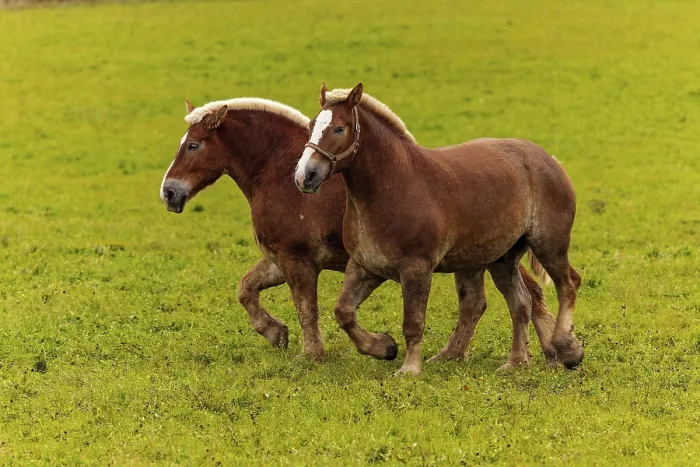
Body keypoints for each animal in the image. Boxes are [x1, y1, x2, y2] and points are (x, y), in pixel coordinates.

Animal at [159, 96, 560, 368]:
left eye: (193, 145)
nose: (169, 192)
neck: (279, 175)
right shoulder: (277, 260)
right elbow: (246, 289)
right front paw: (275, 333)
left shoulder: (297, 261)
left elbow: (308, 309)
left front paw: (316, 354)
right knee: (521, 296)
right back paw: (550, 352)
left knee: (527, 296)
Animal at [295, 83, 583, 375]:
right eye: (311, 125)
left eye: (339, 128)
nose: (305, 176)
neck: (392, 185)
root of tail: (549, 160)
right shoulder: (365, 267)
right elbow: (343, 311)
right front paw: (384, 347)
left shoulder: (416, 269)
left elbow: (413, 323)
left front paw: (409, 369)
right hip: (501, 258)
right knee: (519, 303)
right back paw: (515, 362)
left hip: (549, 245)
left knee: (568, 284)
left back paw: (568, 349)